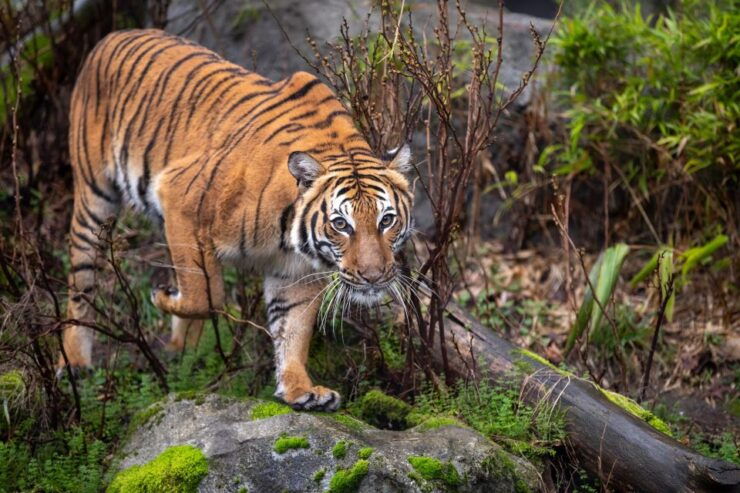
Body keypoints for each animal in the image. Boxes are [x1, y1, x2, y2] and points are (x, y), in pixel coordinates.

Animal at [62, 29, 414, 411]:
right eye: (340, 225)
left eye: (387, 220)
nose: (374, 277)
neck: (288, 234)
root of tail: (112, 36)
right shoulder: (180, 198)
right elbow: (206, 295)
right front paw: (161, 297)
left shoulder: (295, 273)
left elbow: (292, 329)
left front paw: (300, 390)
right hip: (94, 197)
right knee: (81, 279)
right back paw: (76, 362)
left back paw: (183, 352)